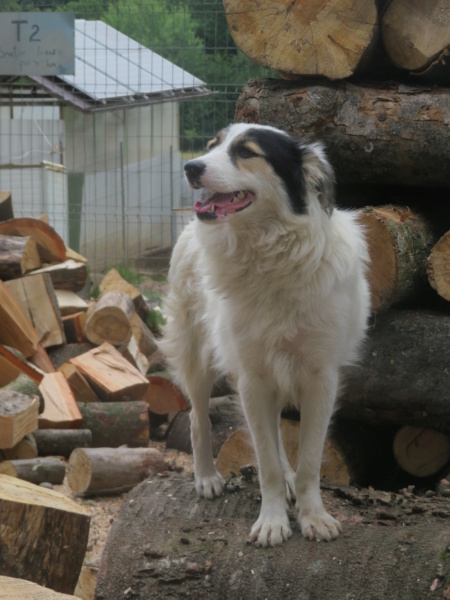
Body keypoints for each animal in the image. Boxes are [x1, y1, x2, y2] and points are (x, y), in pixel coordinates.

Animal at [160, 123, 370, 548]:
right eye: (212, 146)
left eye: (246, 152)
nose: (191, 167)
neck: (270, 253)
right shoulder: (252, 379)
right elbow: (266, 462)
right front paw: (272, 521)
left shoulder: (320, 378)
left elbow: (309, 459)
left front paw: (313, 515)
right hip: (197, 357)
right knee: (198, 419)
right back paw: (206, 477)